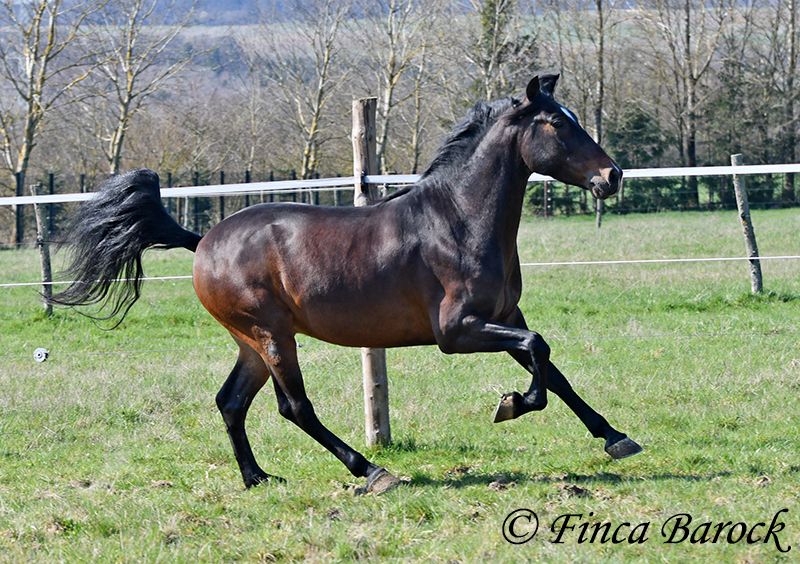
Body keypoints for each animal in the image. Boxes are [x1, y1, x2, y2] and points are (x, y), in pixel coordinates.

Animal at [51, 74, 641, 494]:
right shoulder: (457, 331)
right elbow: (539, 352)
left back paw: (258, 478)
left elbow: (553, 368)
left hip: (250, 343)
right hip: (270, 335)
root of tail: (204, 242)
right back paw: (372, 472)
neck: (459, 219)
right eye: (557, 123)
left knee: (231, 402)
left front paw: (616, 438)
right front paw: (512, 404)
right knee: (294, 408)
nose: (612, 176)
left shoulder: (503, 317)